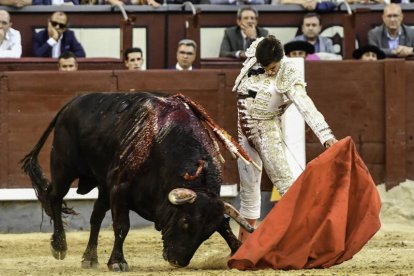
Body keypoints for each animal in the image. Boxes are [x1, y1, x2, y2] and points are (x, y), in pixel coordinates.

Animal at [21, 92, 254, 272]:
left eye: (207, 233)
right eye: (185, 222)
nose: (178, 261)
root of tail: (72, 102)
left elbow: (224, 225)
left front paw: (239, 250)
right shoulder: (120, 188)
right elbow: (122, 226)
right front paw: (117, 262)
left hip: (102, 186)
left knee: (95, 217)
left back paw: (90, 258)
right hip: (64, 168)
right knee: (54, 197)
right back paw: (59, 246)